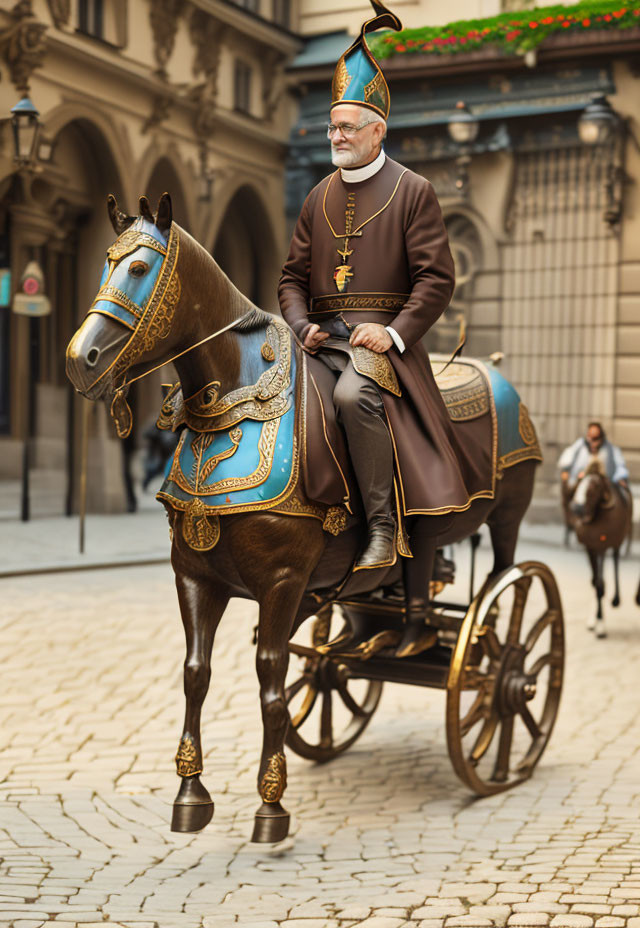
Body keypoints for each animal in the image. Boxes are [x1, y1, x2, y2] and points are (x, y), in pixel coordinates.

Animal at [67, 192, 540, 844]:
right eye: (104, 266)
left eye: (139, 268)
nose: (79, 360)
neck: (231, 407)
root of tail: (491, 370)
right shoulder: (195, 576)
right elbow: (197, 673)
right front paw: (191, 794)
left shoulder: (283, 582)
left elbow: (270, 678)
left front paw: (271, 806)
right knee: (404, 580)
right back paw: (399, 639)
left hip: (509, 515)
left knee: (505, 596)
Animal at [568, 458, 632, 636]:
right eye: (580, 481)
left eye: (594, 487)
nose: (576, 508)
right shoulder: (590, 547)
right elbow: (596, 582)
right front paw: (596, 620)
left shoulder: (603, 545)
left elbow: (600, 584)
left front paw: (600, 624)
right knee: (596, 579)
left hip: (617, 541)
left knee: (615, 558)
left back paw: (615, 600)